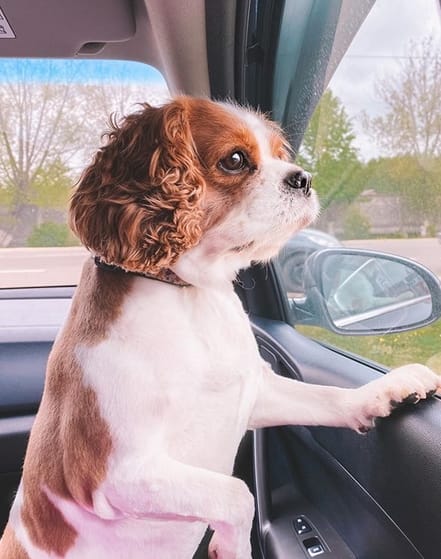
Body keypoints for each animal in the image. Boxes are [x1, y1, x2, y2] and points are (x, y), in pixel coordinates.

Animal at [0, 96, 439, 559]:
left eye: (281, 154)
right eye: (235, 160)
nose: (303, 178)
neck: (190, 294)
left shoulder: (257, 394)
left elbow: (329, 398)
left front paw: (392, 387)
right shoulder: (112, 472)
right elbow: (236, 494)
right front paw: (230, 547)